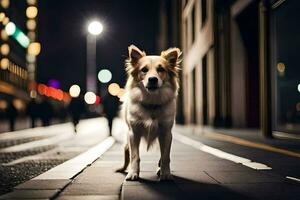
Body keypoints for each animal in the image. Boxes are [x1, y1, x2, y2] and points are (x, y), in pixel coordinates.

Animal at [116, 44, 182, 181]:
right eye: (144, 70)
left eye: (161, 69)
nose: (152, 79)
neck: (152, 102)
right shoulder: (133, 133)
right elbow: (134, 156)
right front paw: (133, 173)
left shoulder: (166, 133)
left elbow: (165, 157)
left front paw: (165, 174)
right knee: (126, 150)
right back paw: (123, 168)